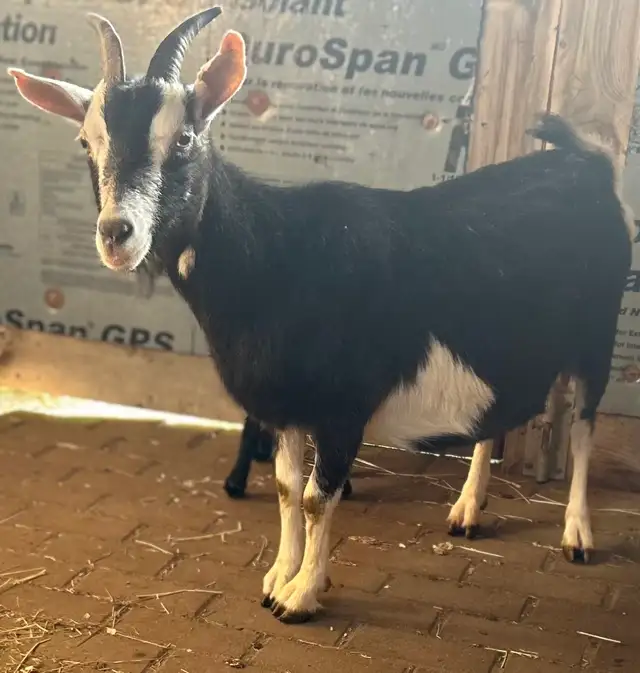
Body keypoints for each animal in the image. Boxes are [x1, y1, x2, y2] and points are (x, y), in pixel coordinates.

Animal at [10, 7, 633, 624]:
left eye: (184, 137)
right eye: (86, 141)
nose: (117, 234)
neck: (276, 254)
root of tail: (583, 164)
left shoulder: (342, 409)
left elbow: (315, 497)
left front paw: (301, 594)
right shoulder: (286, 409)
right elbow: (287, 489)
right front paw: (276, 577)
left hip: (598, 333)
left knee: (584, 424)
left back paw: (577, 535)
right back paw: (467, 510)